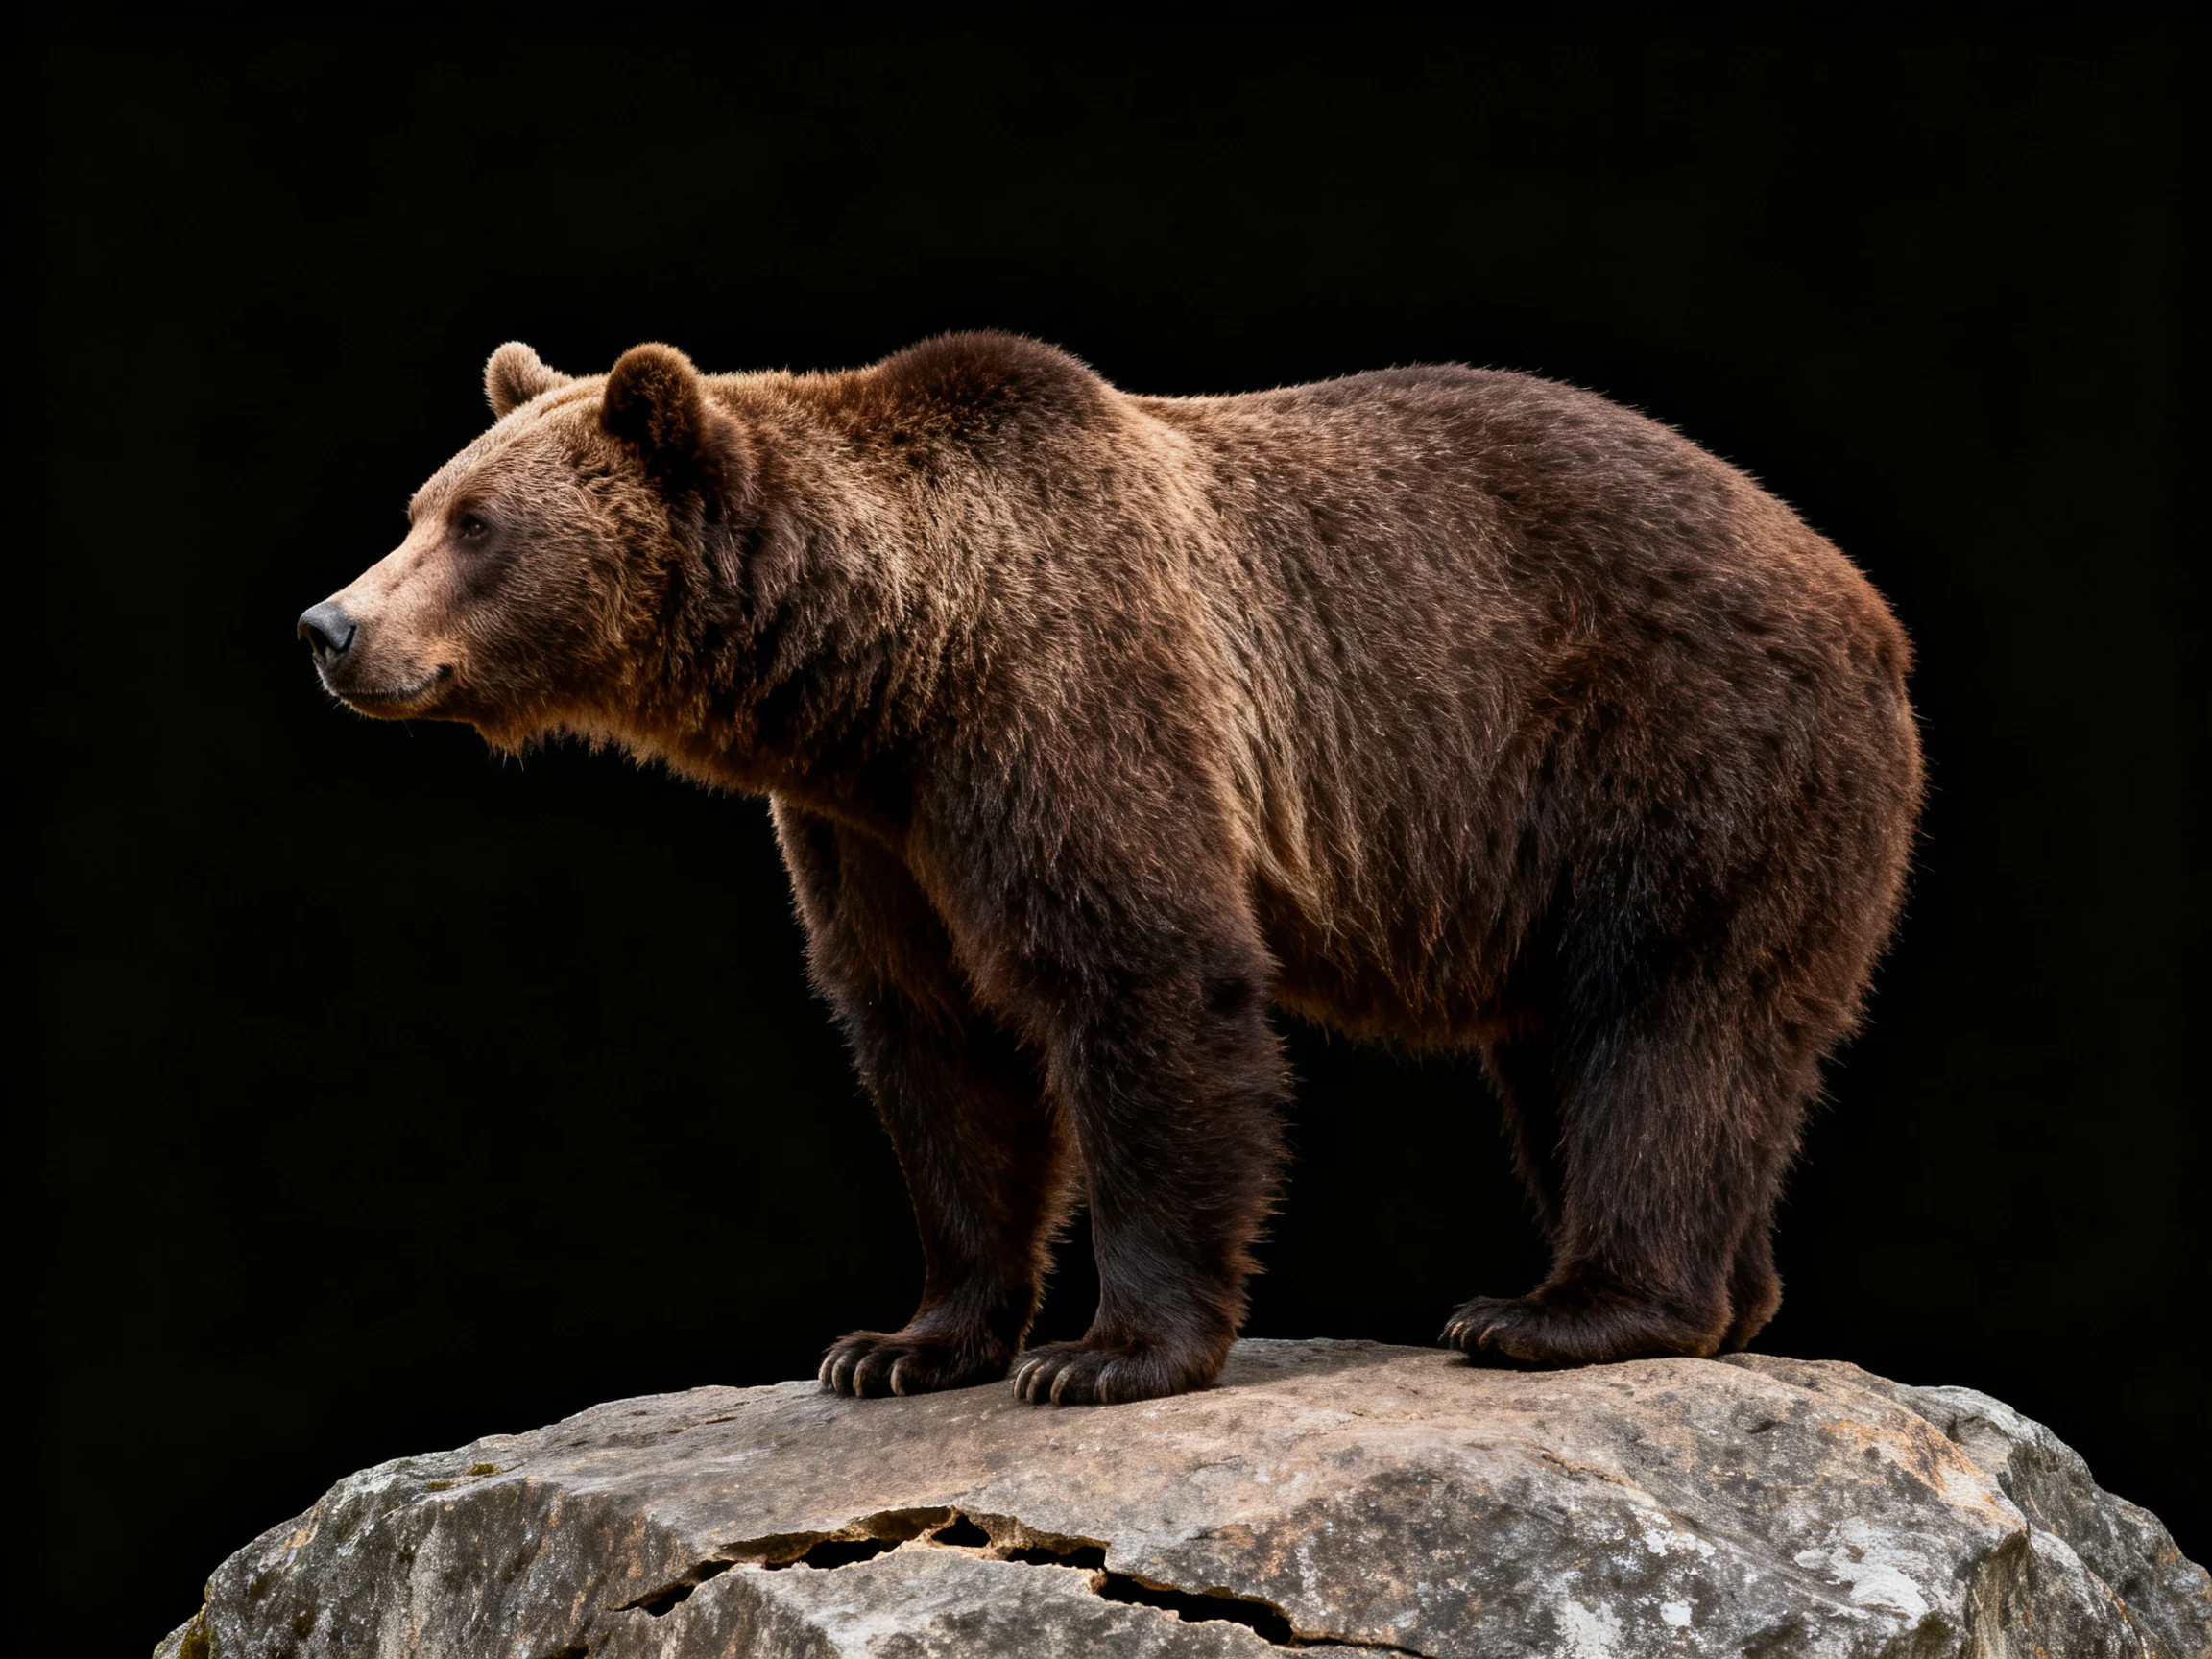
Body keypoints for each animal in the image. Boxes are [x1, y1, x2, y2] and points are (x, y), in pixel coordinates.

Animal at [298, 333, 1923, 1406]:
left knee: (1667, 1025)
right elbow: (936, 1049)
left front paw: (1107, 1353)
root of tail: (1861, 599)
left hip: (1682, 752)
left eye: (477, 526)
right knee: (1582, 1057)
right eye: (418, 508)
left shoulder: (1073, 701)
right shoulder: (876, 833)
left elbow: (1144, 983)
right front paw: (902, 1342)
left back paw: (1568, 1309)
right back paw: (1725, 1299)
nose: (330, 627)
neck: (887, 668)